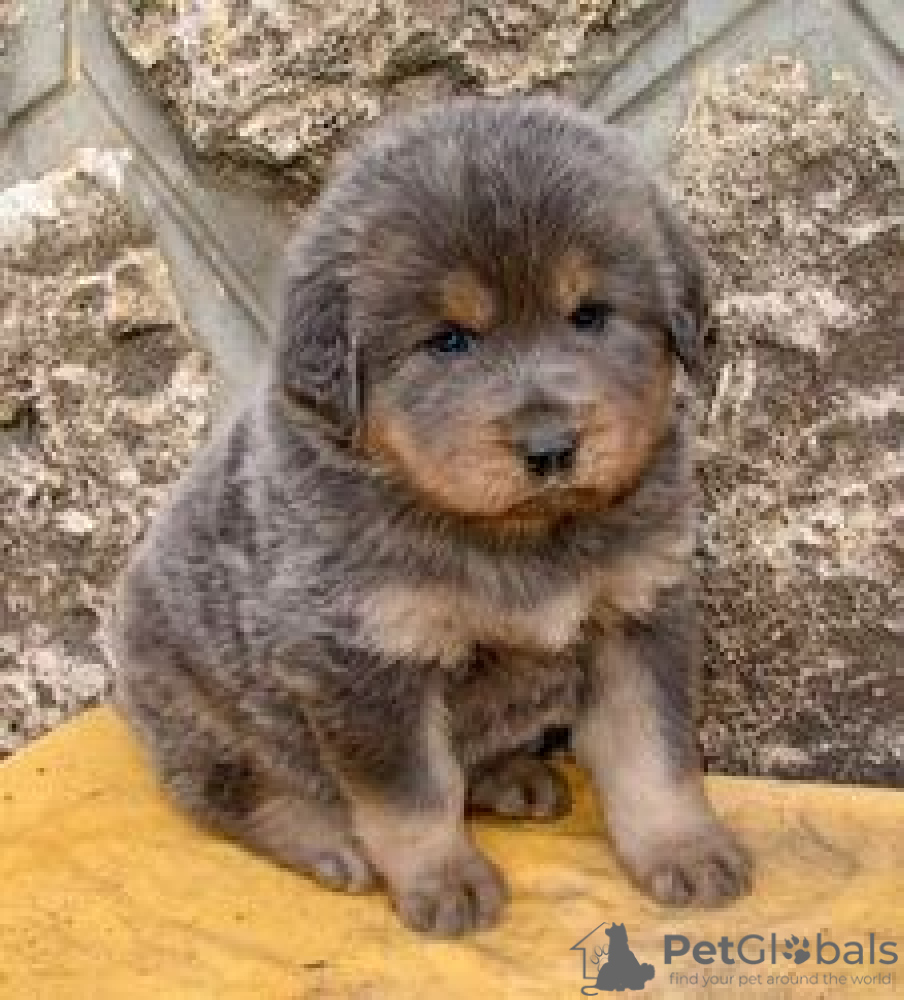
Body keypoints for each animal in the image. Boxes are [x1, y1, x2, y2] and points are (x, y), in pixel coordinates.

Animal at [113, 97, 751, 936]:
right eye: (449, 341)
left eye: (590, 316)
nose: (550, 446)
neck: (513, 537)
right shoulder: (364, 653)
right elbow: (414, 796)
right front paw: (444, 882)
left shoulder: (637, 611)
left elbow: (654, 753)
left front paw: (684, 849)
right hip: (202, 708)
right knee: (240, 794)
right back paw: (330, 843)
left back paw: (513, 775)